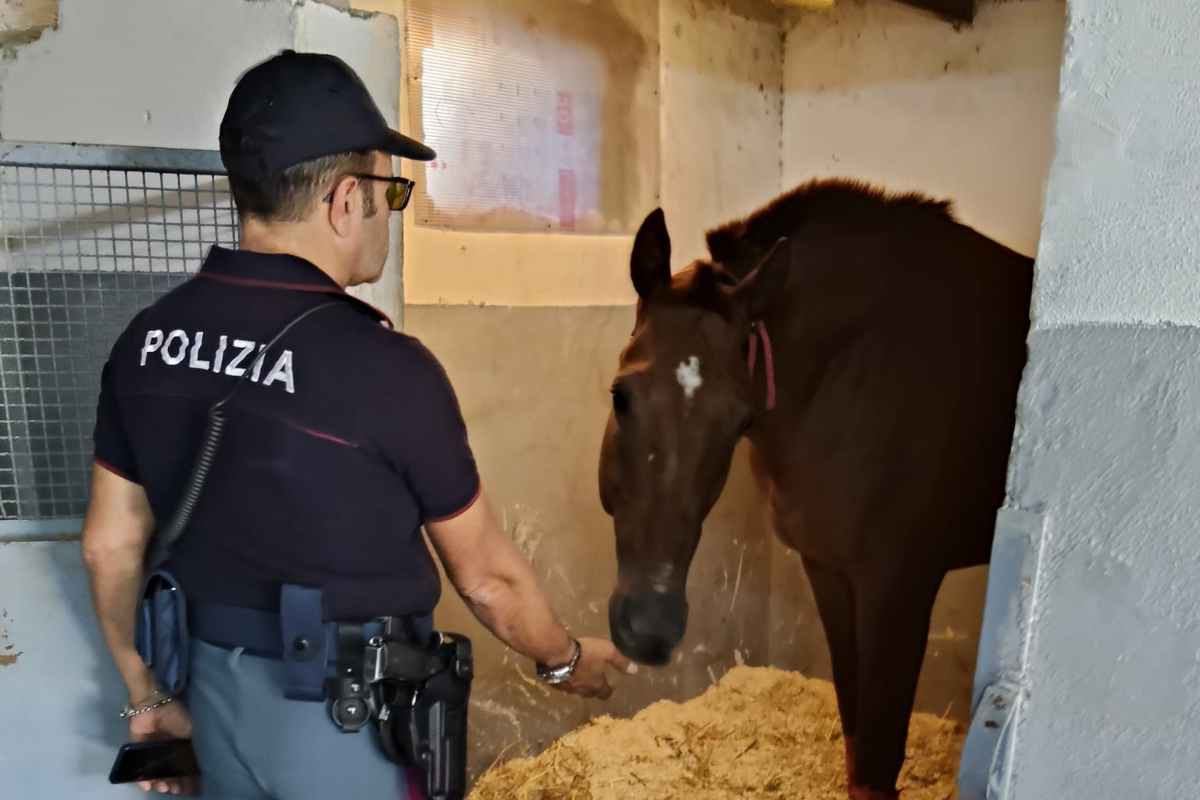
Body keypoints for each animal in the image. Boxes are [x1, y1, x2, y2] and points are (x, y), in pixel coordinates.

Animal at [598, 179, 1032, 799]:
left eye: (738, 418)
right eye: (621, 395)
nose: (651, 628)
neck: (849, 379)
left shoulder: (899, 587)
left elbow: (877, 758)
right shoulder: (827, 570)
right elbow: (855, 740)